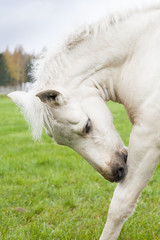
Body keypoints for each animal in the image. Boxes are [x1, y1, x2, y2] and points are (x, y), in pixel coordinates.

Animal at [8, 5, 160, 240]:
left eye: (87, 125)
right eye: (62, 143)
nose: (115, 172)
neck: (140, 53)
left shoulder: (148, 138)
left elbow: (120, 206)